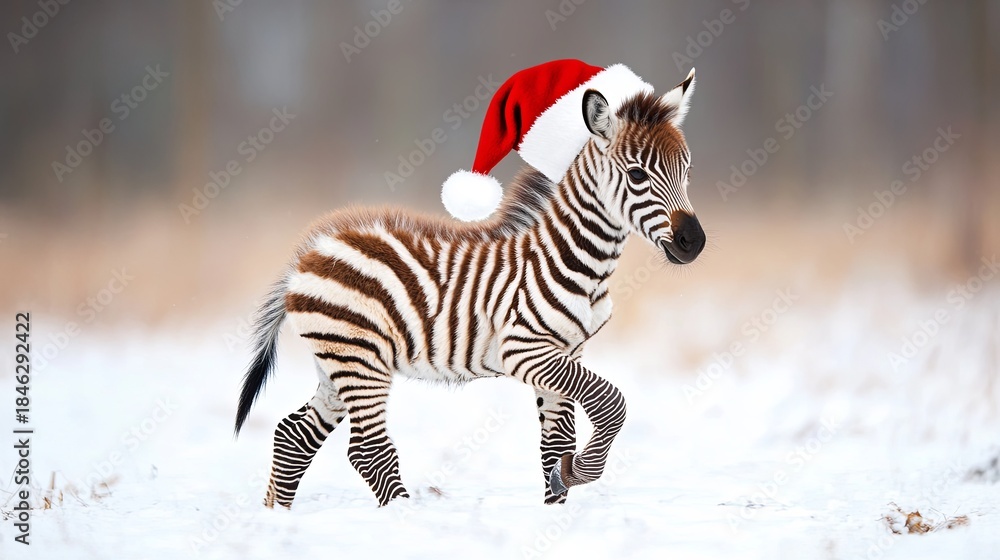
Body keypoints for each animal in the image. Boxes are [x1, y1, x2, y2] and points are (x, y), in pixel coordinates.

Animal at [234, 72, 705, 508]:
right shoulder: (525, 350)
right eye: (637, 174)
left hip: (336, 362)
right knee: (367, 450)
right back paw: (404, 518)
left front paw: (559, 501)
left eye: (686, 171)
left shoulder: (568, 352)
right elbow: (612, 401)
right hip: (360, 359)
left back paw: (278, 519)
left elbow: (555, 445)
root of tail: (309, 252)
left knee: (293, 435)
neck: (577, 263)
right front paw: (580, 472)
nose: (693, 242)